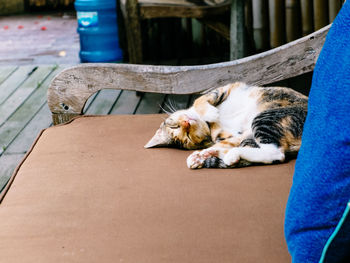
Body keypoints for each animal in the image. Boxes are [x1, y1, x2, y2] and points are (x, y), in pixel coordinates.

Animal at [144, 82, 308, 169]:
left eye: (175, 127)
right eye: (187, 137)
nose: (186, 123)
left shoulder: (223, 89)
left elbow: (199, 100)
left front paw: (211, 112)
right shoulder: (231, 136)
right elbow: (222, 143)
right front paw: (201, 155)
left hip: (265, 117)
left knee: (276, 153)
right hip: (257, 128)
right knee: (274, 154)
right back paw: (226, 156)